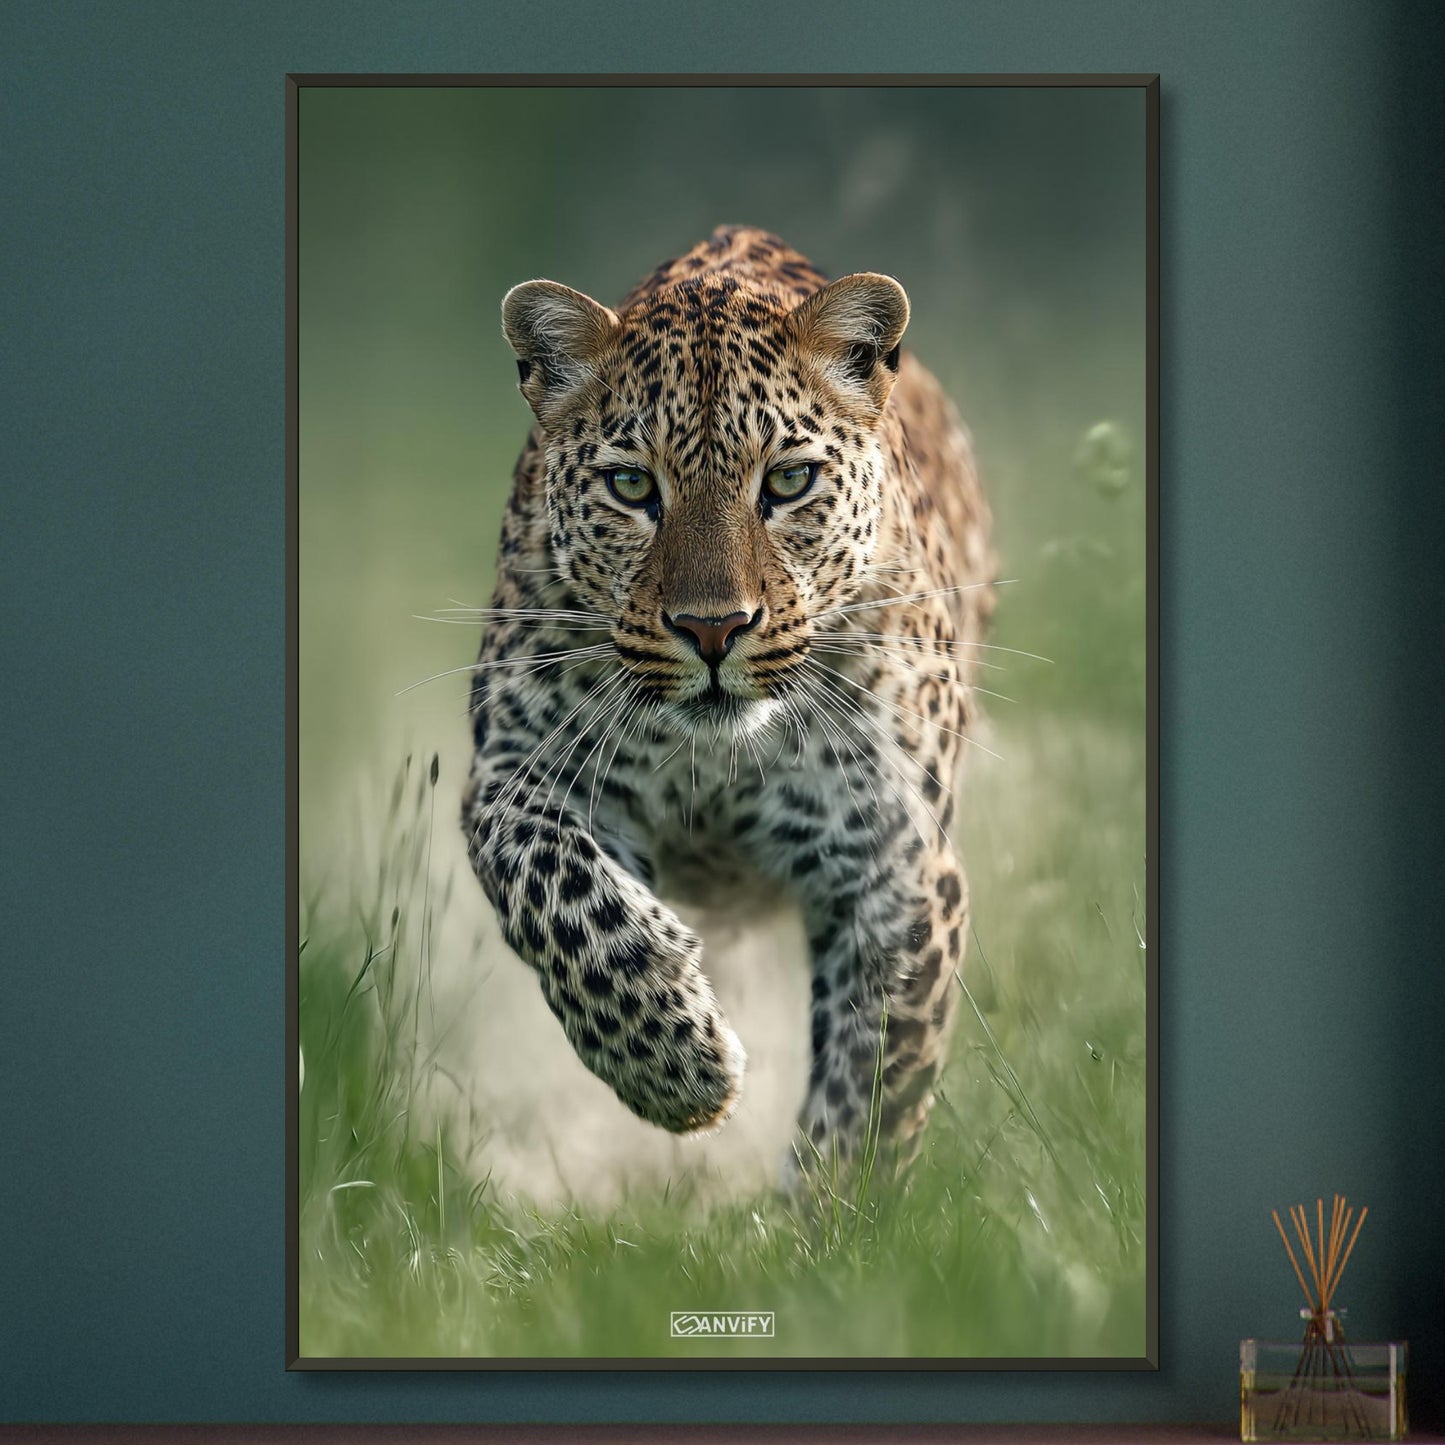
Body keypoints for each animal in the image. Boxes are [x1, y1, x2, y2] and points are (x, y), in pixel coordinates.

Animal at [461, 225, 995, 1182]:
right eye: (632, 488)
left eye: (786, 481)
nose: (713, 629)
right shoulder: (513, 776)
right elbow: (563, 898)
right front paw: (680, 1068)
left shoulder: (894, 862)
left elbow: (871, 1083)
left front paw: (830, 1214)